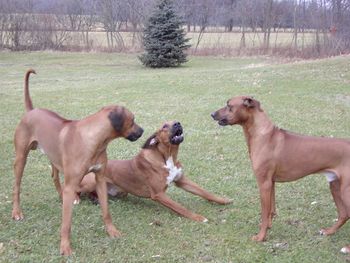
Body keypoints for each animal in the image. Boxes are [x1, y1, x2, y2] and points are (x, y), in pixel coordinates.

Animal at [11, 69, 144, 256]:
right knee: (17, 186)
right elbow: (66, 224)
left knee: (54, 176)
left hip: (54, 157)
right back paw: (17, 212)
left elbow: (106, 211)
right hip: (21, 159)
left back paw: (62, 197)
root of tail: (32, 111)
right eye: (132, 119)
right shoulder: (73, 183)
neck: (95, 140)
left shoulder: (100, 179)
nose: (142, 131)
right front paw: (65, 247)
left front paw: (112, 231)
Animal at [59, 121, 231, 223]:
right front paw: (198, 217)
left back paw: (95, 199)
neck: (167, 157)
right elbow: (181, 207)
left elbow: (204, 192)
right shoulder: (159, 194)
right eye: (164, 126)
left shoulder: (182, 180)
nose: (178, 123)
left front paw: (223, 200)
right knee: (73, 189)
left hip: (120, 192)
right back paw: (76, 199)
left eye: (174, 122)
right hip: (89, 182)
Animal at [212, 96, 350, 254]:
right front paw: (268, 227)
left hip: (346, 191)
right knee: (344, 214)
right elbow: (271, 210)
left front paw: (260, 237)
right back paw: (328, 232)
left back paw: (346, 247)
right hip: (335, 186)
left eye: (229, 106)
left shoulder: (263, 184)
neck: (262, 134)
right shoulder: (271, 183)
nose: (212, 114)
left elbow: (264, 213)